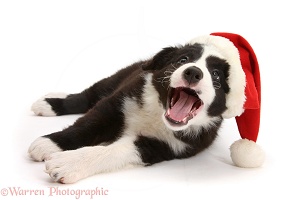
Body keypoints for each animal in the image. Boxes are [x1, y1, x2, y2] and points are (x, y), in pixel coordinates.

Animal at [29, 35, 244, 184]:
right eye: (182, 60)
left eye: (215, 75)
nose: (193, 72)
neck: (158, 113)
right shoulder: (116, 103)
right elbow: (86, 126)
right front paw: (49, 143)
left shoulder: (165, 145)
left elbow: (115, 151)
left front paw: (69, 163)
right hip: (117, 77)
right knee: (88, 96)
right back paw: (49, 103)